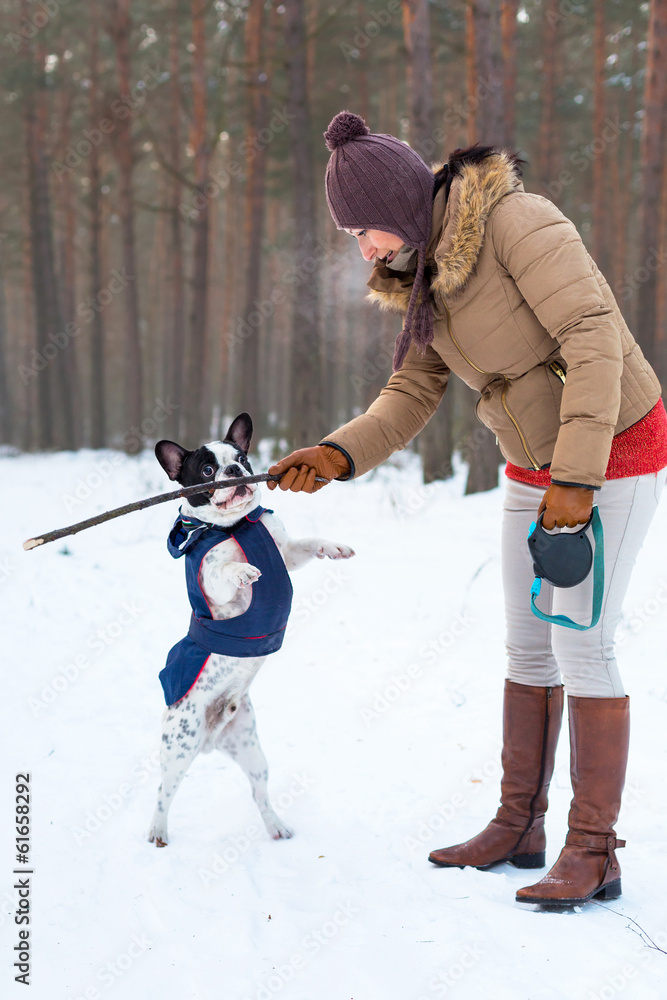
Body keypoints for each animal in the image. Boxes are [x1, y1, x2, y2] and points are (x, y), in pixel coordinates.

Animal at [147, 410, 354, 848]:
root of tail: (212, 737)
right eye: (207, 470)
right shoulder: (214, 584)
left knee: (259, 792)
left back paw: (276, 827)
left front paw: (333, 547)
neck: (237, 526)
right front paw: (242, 568)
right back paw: (157, 831)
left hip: (250, 749)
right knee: (163, 792)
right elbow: (225, 569)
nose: (234, 471)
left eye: (242, 458)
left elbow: (306, 544)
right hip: (179, 746)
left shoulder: (286, 554)